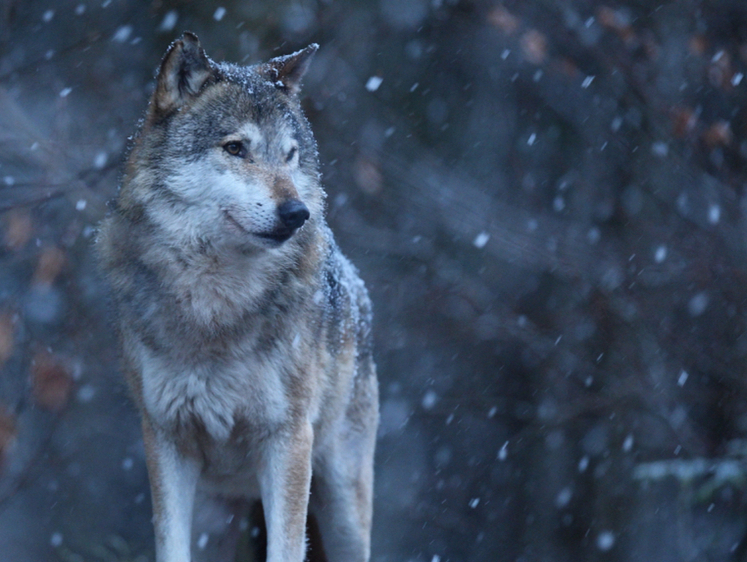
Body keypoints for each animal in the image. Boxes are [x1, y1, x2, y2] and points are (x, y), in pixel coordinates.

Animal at [98, 32, 380, 560]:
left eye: (290, 155)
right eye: (235, 148)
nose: (297, 213)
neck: (216, 305)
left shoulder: (287, 439)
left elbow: (286, 549)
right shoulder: (165, 438)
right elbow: (169, 545)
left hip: (343, 510)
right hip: (216, 520)